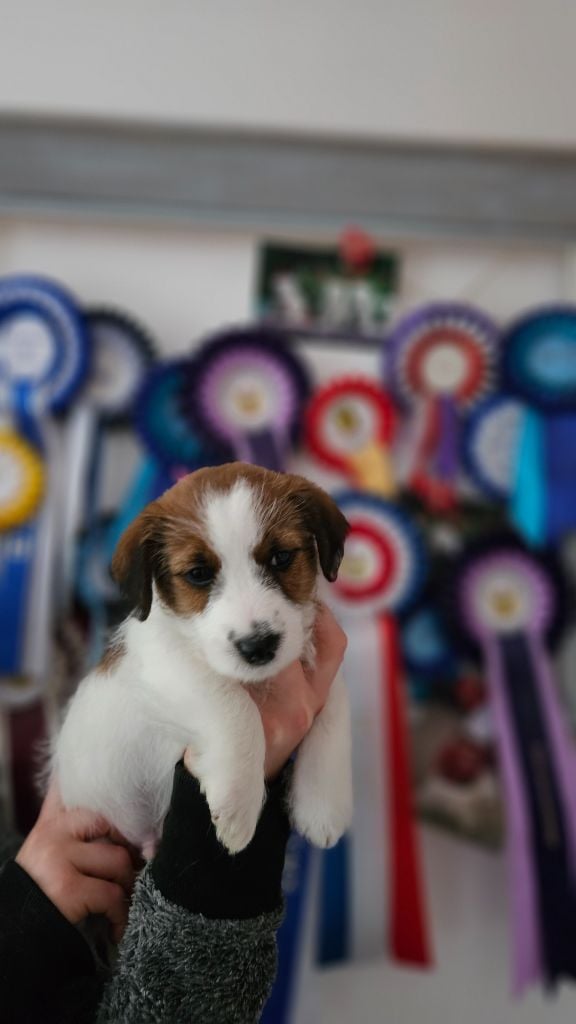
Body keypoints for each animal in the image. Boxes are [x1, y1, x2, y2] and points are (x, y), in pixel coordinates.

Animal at [53, 464, 352, 856]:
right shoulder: (167, 665)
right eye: (198, 574)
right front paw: (238, 803)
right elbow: (235, 706)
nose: (259, 646)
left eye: (281, 557)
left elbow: (334, 707)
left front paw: (322, 805)